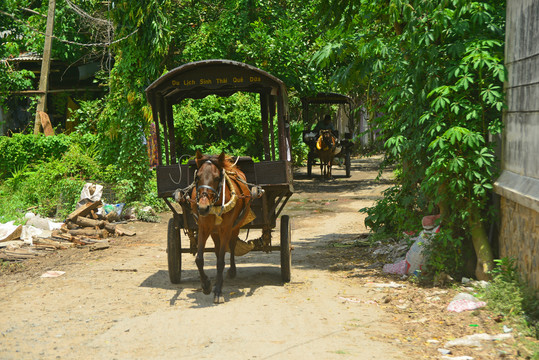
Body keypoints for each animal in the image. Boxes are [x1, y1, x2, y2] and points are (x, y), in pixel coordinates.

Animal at [190, 150, 255, 302]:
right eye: (198, 177)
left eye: (216, 178)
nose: (203, 207)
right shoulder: (203, 228)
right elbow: (199, 259)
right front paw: (206, 285)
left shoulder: (226, 229)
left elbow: (220, 261)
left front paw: (218, 291)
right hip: (214, 231)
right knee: (217, 248)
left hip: (235, 227)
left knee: (231, 245)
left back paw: (231, 271)